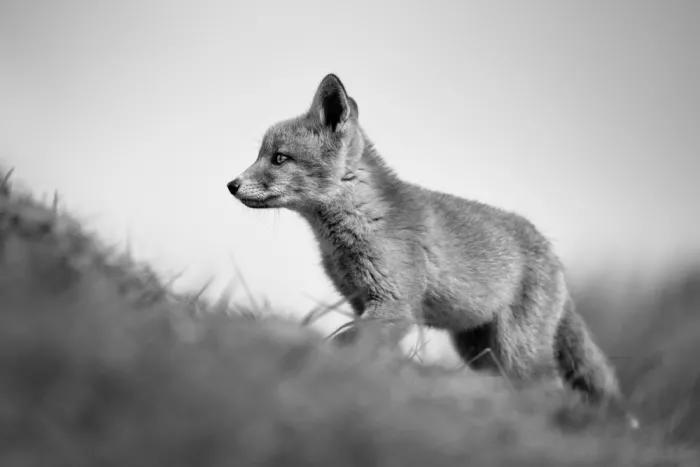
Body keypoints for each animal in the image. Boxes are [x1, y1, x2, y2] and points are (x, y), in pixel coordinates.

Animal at [227, 73, 638, 428]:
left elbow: (342, 340)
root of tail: (554, 255)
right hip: (478, 349)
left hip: (519, 351)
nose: (231, 184)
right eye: (262, 154)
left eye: (279, 158)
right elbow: (365, 352)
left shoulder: (395, 306)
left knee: (548, 391)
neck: (360, 224)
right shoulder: (364, 303)